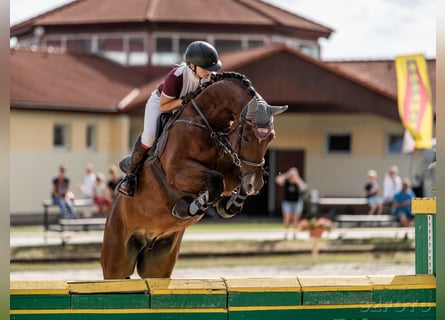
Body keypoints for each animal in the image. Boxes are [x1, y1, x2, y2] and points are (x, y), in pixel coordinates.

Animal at [99, 72, 288, 278]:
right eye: (246, 137)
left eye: (271, 138)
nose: (255, 184)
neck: (207, 123)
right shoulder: (177, 172)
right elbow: (215, 180)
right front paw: (187, 207)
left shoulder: (231, 168)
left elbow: (228, 181)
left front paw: (229, 204)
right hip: (116, 259)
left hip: (158, 262)